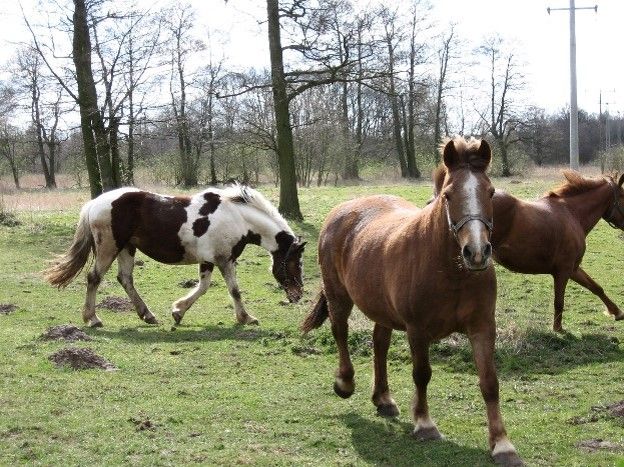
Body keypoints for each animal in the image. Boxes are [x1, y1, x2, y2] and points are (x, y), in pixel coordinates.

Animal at [45, 184, 306, 328]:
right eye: (296, 263)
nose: (298, 295)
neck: (237, 216)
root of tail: (94, 203)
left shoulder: (209, 260)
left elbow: (203, 287)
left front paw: (178, 311)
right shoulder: (225, 259)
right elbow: (234, 290)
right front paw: (246, 318)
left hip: (127, 249)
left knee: (125, 279)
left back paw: (147, 315)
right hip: (109, 248)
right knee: (94, 278)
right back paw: (93, 318)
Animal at [302, 138, 522, 465]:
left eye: (491, 191)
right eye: (448, 195)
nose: (477, 252)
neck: (451, 270)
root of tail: (342, 210)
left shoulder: (483, 327)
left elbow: (490, 382)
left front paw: (502, 444)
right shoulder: (418, 330)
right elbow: (422, 374)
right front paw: (424, 424)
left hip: (380, 308)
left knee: (379, 343)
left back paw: (383, 399)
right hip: (338, 295)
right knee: (340, 332)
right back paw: (345, 383)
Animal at [433, 168, 624, 332]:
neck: (571, 214)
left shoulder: (573, 268)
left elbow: (596, 287)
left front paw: (616, 312)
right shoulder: (563, 271)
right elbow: (559, 302)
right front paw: (558, 329)